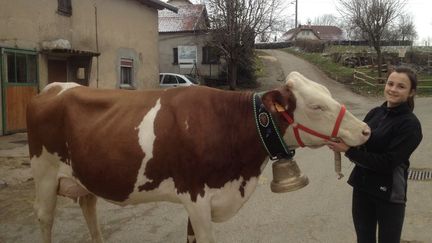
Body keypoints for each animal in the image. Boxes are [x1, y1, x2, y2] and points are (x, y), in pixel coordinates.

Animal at [27, 71, 372, 243]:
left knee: (89, 209)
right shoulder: (196, 197)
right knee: (44, 218)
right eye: (316, 106)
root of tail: (57, 86)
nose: (365, 130)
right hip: (44, 174)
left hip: (85, 176)